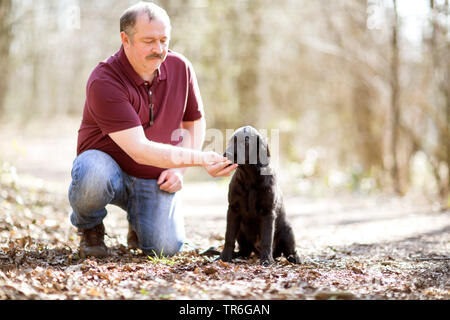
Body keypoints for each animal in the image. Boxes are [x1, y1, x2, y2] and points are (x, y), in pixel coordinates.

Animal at [220, 126, 300, 266]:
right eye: (230, 141)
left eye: (245, 142)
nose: (226, 155)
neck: (249, 178)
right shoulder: (233, 210)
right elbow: (229, 236)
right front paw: (224, 258)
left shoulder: (268, 212)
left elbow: (266, 240)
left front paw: (267, 260)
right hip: (241, 231)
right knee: (244, 250)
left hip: (287, 229)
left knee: (290, 250)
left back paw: (294, 258)